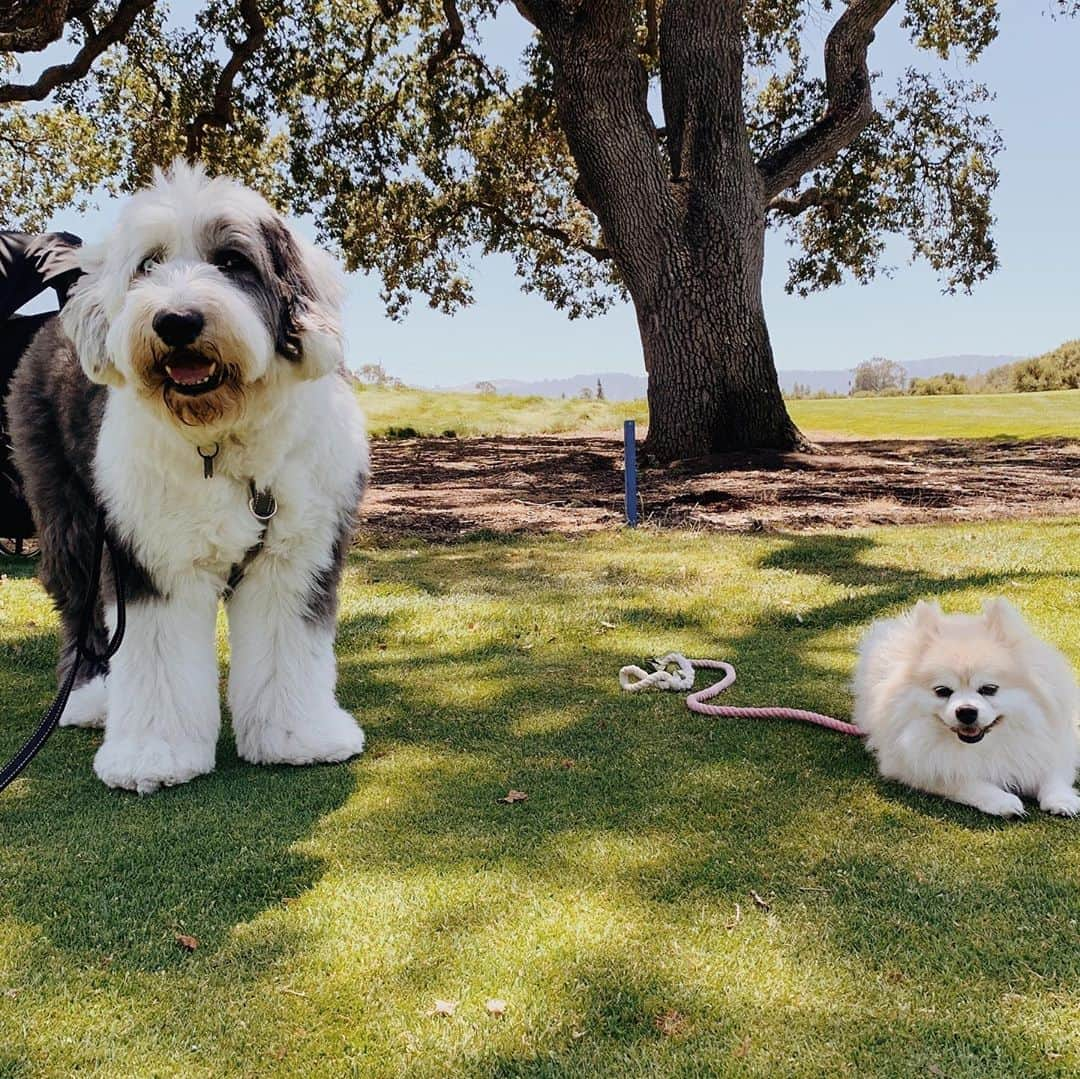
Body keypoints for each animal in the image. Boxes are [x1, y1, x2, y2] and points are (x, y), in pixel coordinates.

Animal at [6, 162, 371, 794]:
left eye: (231, 260)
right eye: (148, 264)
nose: (176, 320)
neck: (222, 440)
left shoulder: (295, 557)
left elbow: (288, 645)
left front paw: (297, 737)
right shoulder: (150, 558)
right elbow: (157, 660)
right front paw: (153, 755)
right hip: (68, 512)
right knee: (78, 606)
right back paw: (90, 697)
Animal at [851, 600, 1080, 816]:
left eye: (989, 689)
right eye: (942, 691)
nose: (966, 711)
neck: (986, 745)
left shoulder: (1053, 747)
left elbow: (1053, 774)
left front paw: (1062, 800)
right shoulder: (916, 767)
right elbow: (967, 782)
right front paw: (1002, 801)